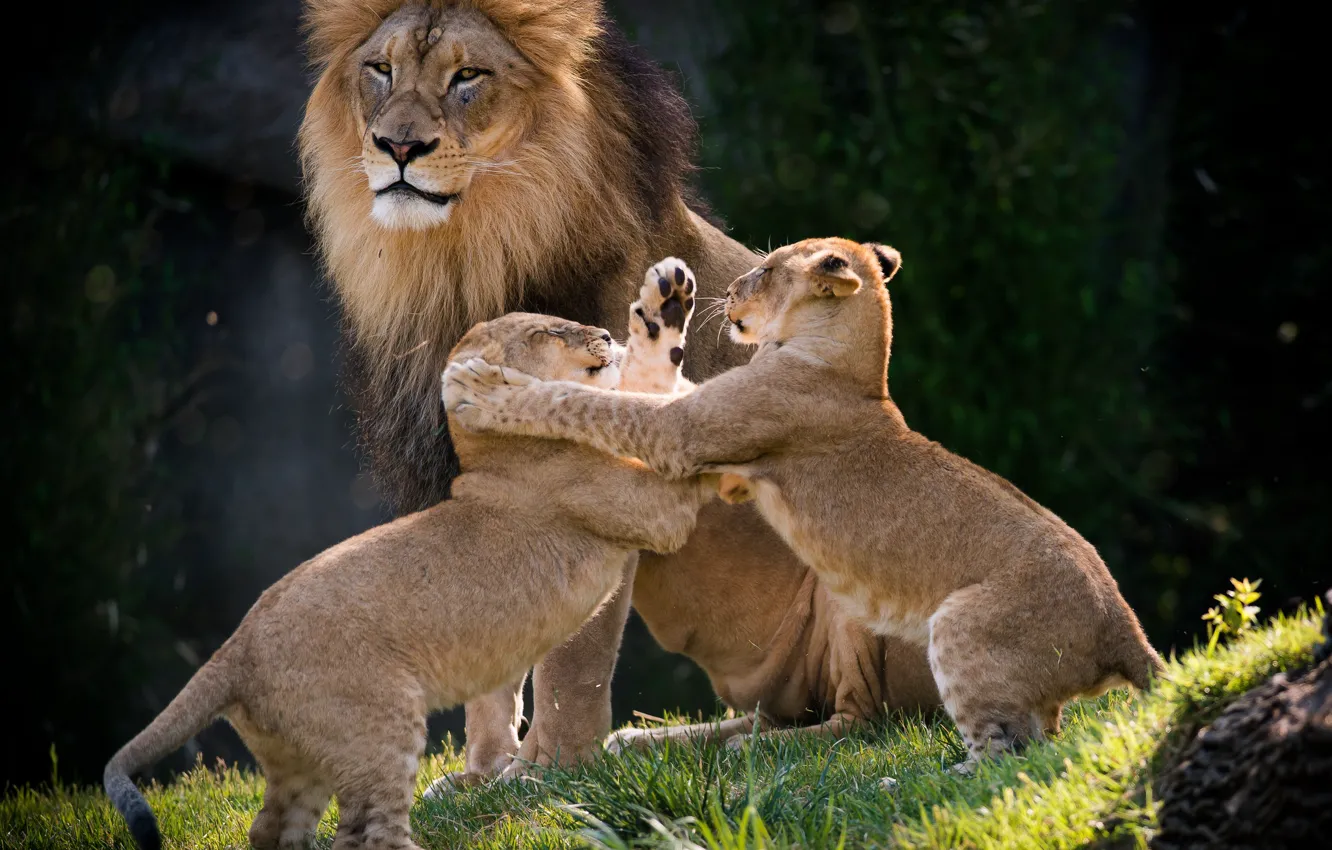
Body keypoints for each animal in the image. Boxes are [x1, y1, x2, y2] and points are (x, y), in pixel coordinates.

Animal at [103, 281, 716, 850]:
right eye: (545, 332)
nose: (608, 335)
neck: (498, 449)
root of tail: (235, 650)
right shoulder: (650, 509)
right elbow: (672, 440)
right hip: (380, 726)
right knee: (370, 832)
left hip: (302, 759)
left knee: (273, 828)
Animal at [299, 0, 938, 786]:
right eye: (380, 70)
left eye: (467, 76)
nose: (396, 146)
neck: (459, 259)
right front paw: (479, 776)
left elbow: (572, 657)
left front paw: (546, 772)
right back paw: (664, 742)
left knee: (862, 719)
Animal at [444, 246, 1166, 771]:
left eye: (765, 271)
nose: (730, 290)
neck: (846, 370)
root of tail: (1121, 626)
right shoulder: (721, 465)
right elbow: (642, 385)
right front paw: (658, 309)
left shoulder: (686, 435)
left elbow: (588, 403)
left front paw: (485, 389)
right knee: (1040, 736)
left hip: (948, 627)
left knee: (968, 746)